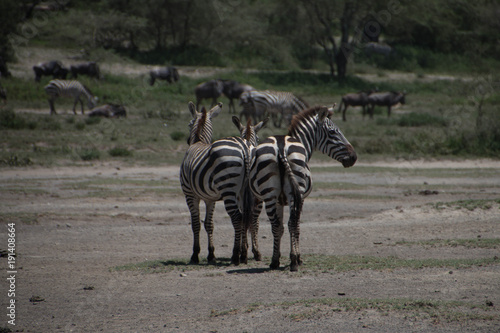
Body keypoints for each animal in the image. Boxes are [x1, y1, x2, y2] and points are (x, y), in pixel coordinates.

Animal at [179, 101, 266, 264]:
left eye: (189, 124)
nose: (187, 141)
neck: (199, 141)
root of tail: (245, 147)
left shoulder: (190, 194)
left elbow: (195, 224)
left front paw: (195, 254)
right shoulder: (210, 198)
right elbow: (209, 224)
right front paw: (211, 254)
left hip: (228, 188)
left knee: (237, 217)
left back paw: (236, 255)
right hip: (248, 191)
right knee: (250, 218)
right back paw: (247, 254)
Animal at [245, 105, 356, 272]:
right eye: (333, 132)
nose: (354, 157)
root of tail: (281, 146)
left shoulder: (279, 200)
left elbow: (282, 227)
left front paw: (279, 256)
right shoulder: (301, 197)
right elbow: (295, 225)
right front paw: (297, 257)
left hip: (270, 194)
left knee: (275, 225)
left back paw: (274, 261)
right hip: (295, 191)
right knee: (293, 223)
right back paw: (294, 262)